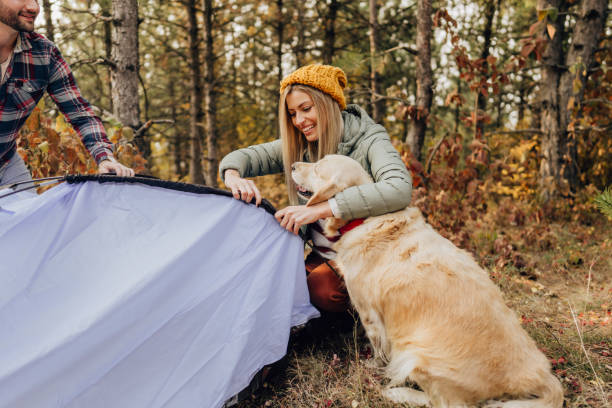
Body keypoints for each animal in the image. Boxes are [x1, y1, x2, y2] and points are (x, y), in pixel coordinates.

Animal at [292, 155, 564, 406]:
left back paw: (399, 392)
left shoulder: (369, 313)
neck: (364, 219)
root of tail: (537, 375)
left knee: (443, 402)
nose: (293, 165)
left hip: (416, 356)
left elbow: (378, 349)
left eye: (317, 167)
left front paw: (373, 366)